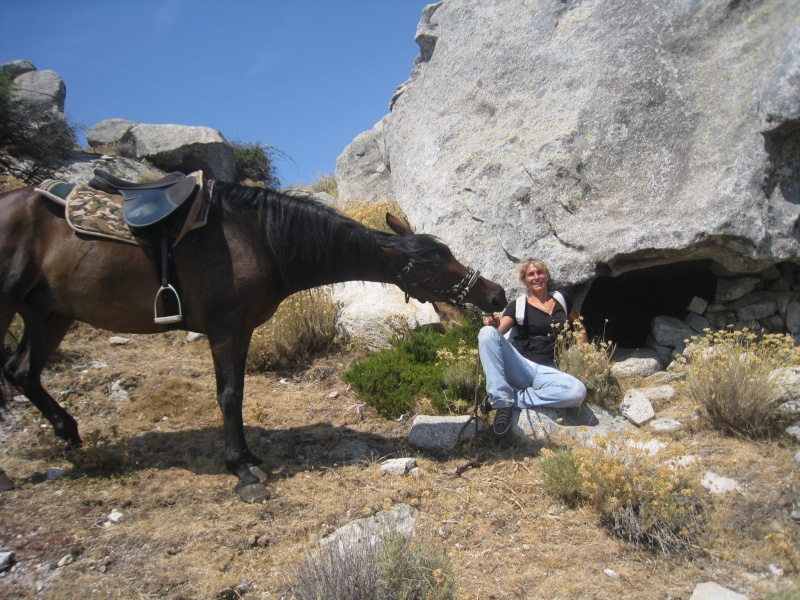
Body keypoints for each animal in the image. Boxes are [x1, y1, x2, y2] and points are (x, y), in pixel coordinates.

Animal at [0, 183, 506, 502]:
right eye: (435, 263)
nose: (496, 294)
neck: (257, 239)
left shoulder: (239, 331)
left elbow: (237, 394)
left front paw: (247, 457)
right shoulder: (226, 329)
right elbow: (229, 395)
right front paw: (242, 470)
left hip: (50, 315)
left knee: (21, 372)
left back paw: (71, 436)